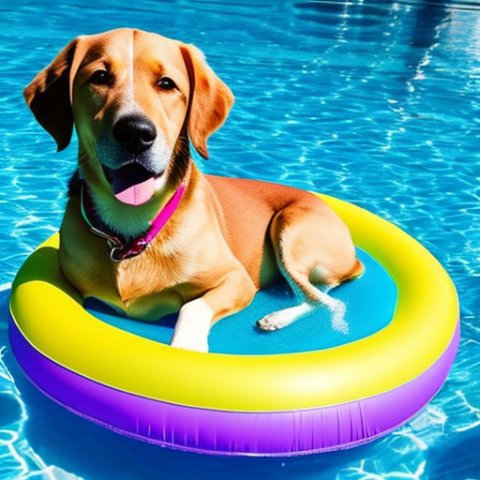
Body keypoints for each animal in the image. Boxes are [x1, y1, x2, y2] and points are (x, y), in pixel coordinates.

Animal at [22, 28, 360, 352]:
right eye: (100, 77)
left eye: (166, 84)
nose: (135, 132)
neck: (132, 228)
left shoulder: (236, 279)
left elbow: (193, 307)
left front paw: (187, 344)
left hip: (290, 230)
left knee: (323, 297)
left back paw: (277, 317)